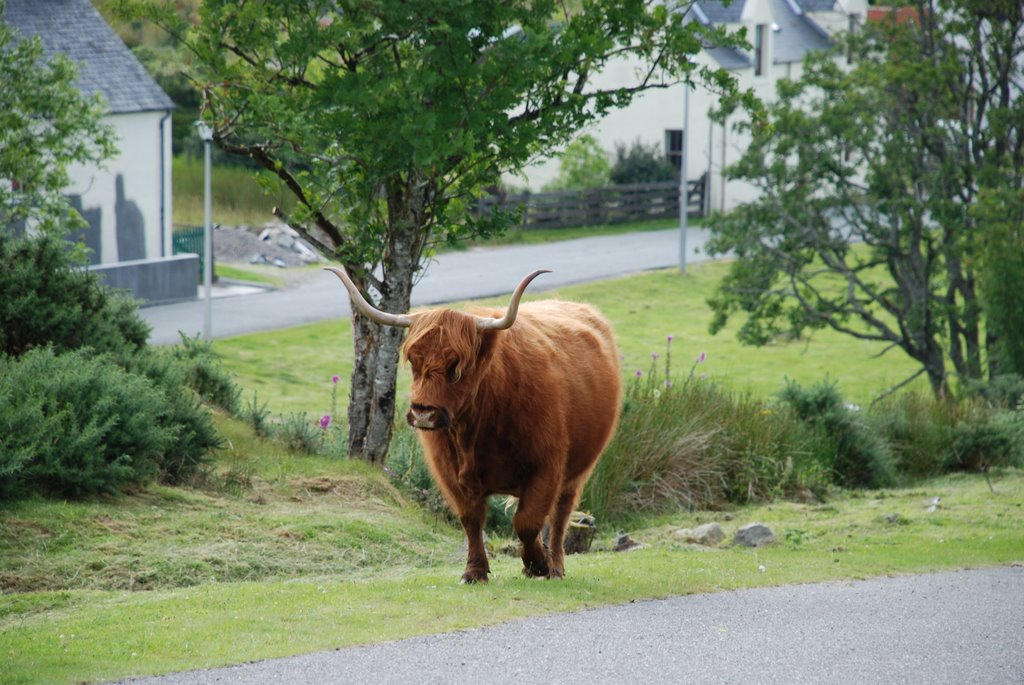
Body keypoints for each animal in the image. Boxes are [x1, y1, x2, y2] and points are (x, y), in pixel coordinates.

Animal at [327, 266, 618, 581]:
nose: (423, 413)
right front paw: (475, 571)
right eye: (414, 362)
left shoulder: (547, 466)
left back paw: (555, 567)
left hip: (577, 469)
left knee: (561, 514)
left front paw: (537, 563)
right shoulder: (450, 472)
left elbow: (527, 521)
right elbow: (471, 518)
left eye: (456, 367)